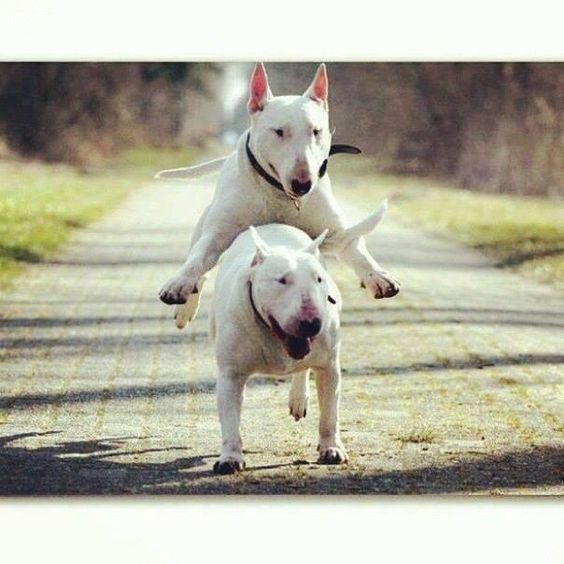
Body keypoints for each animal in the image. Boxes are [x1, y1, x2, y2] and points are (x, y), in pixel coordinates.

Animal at [156, 62, 398, 328]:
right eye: (279, 131)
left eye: (316, 131)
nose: (303, 184)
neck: (280, 194)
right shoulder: (217, 234)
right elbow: (198, 259)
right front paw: (179, 284)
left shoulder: (338, 231)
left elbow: (358, 249)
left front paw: (377, 276)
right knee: (200, 266)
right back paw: (185, 307)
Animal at [208, 205, 388, 474]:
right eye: (282, 280)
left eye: (319, 279)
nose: (312, 323)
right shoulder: (231, 374)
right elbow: (230, 418)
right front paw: (230, 457)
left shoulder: (329, 367)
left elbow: (329, 413)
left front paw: (331, 448)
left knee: (303, 370)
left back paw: (298, 399)